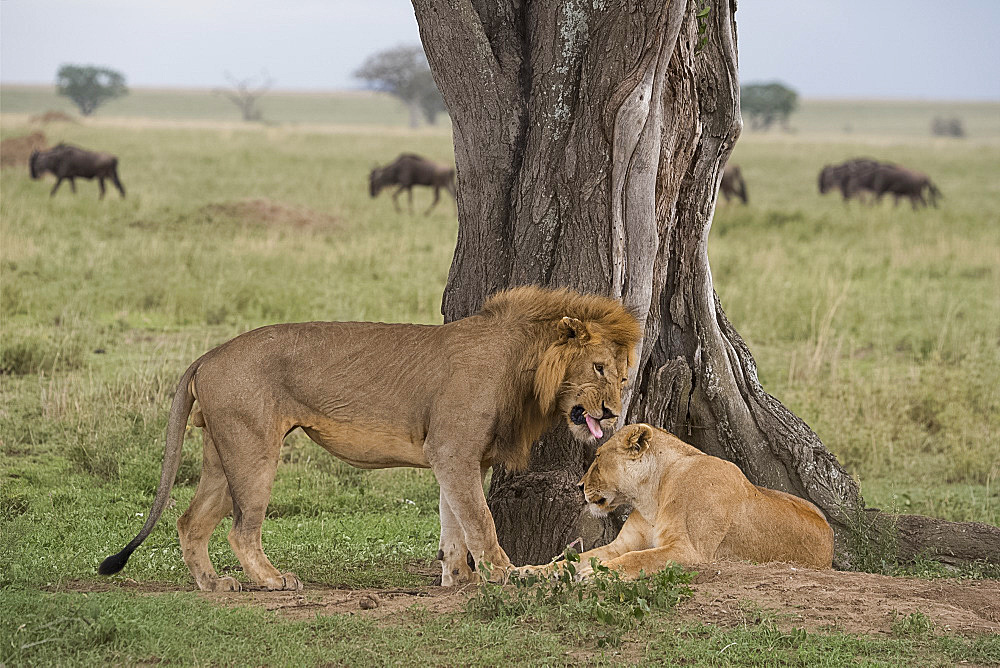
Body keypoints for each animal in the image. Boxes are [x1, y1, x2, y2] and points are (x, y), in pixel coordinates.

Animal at [97, 286, 636, 588]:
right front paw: (504, 575)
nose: (612, 413)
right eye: (599, 367)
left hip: (220, 451)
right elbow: (480, 520)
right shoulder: (452, 449)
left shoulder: (460, 457)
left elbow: (454, 522)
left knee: (191, 522)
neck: (523, 366)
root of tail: (208, 354)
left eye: (624, 374)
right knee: (240, 529)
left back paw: (213, 583)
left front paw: (459, 578)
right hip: (253, 449)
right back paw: (273, 581)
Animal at [520, 426, 832, 580]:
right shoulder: (621, 545)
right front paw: (528, 571)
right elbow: (572, 558)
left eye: (597, 456)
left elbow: (638, 558)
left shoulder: (689, 551)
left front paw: (593, 573)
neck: (651, 496)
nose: (579, 486)